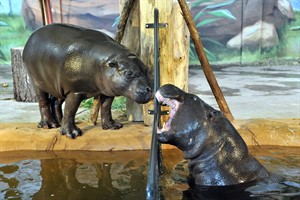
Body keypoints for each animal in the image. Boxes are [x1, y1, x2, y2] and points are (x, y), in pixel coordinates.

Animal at [21, 23, 152, 138]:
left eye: (146, 69)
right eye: (129, 73)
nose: (149, 89)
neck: (104, 63)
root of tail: (31, 36)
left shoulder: (107, 91)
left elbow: (106, 108)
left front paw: (113, 126)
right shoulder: (74, 92)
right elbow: (70, 110)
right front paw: (72, 134)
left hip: (57, 86)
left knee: (55, 102)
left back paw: (58, 123)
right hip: (37, 82)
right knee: (43, 102)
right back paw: (49, 125)